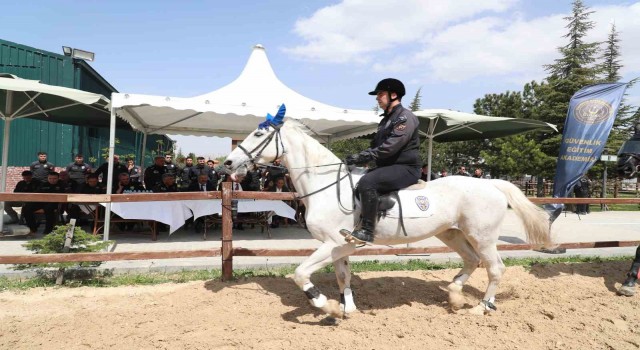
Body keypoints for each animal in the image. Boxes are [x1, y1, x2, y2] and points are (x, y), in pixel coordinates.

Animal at [225, 119, 556, 316]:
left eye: (258, 133)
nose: (227, 163)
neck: (327, 185)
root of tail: (492, 184)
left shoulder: (332, 243)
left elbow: (300, 273)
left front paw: (323, 304)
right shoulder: (340, 246)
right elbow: (342, 276)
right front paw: (347, 309)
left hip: (483, 236)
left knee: (495, 268)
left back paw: (481, 308)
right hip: (452, 233)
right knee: (472, 261)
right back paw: (454, 295)